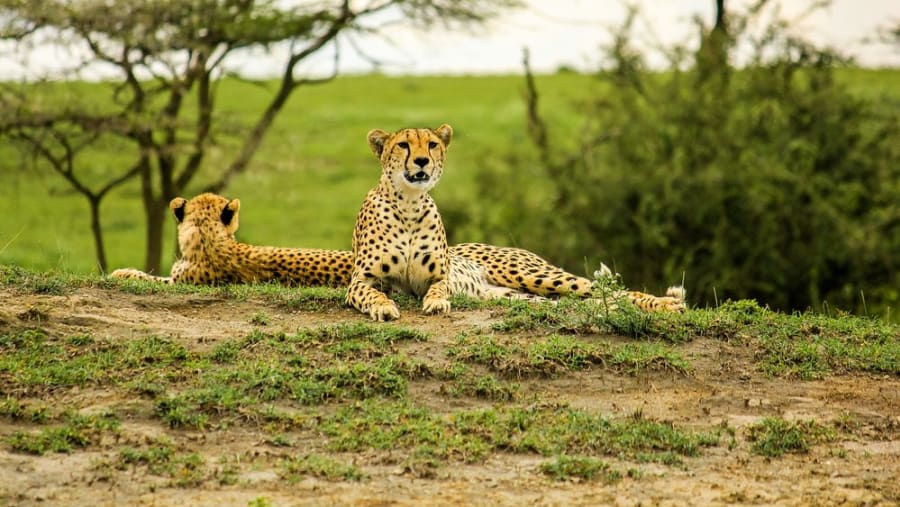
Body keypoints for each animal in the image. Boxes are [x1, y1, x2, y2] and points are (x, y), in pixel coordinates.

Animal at [346, 123, 685, 321]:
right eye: (403, 145)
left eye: (431, 145)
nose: (421, 161)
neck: (408, 203)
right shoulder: (360, 281)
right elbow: (371, 293)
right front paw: (383, 306)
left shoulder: (438, 277)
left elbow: (438, 289)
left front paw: (437, 303)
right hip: (524, 295)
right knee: (595, 301)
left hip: (532, 275)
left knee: (613, 291)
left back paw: (667, 305)